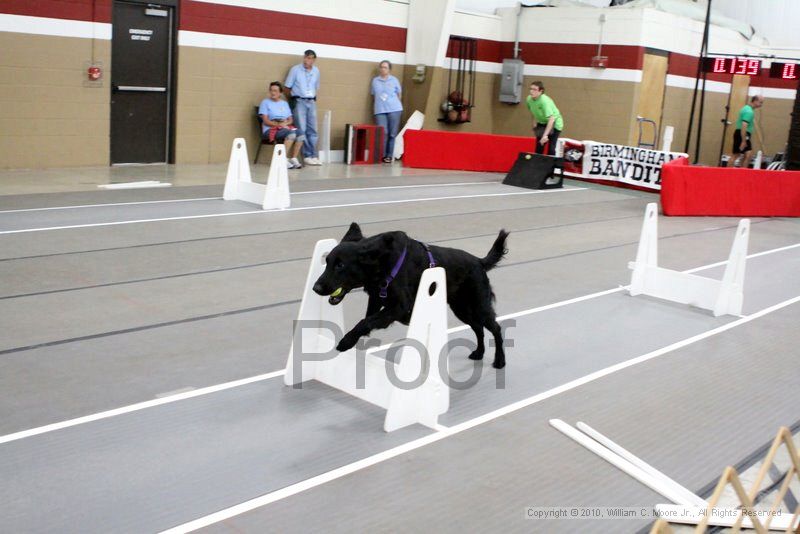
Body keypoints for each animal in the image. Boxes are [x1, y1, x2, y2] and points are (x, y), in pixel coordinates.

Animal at [310, 224, 506, 370]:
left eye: (340, 265)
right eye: (327, 262)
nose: (316, 287)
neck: (383, 262)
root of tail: (479, 261)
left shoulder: (399, 306)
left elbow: (366, 321)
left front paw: (346, 341)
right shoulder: (376, 298)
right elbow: (368, 318)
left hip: (479, 305)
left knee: (496, 328)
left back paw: (499, 361)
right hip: (462, 308)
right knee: (479, 328)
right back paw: (479, 353)